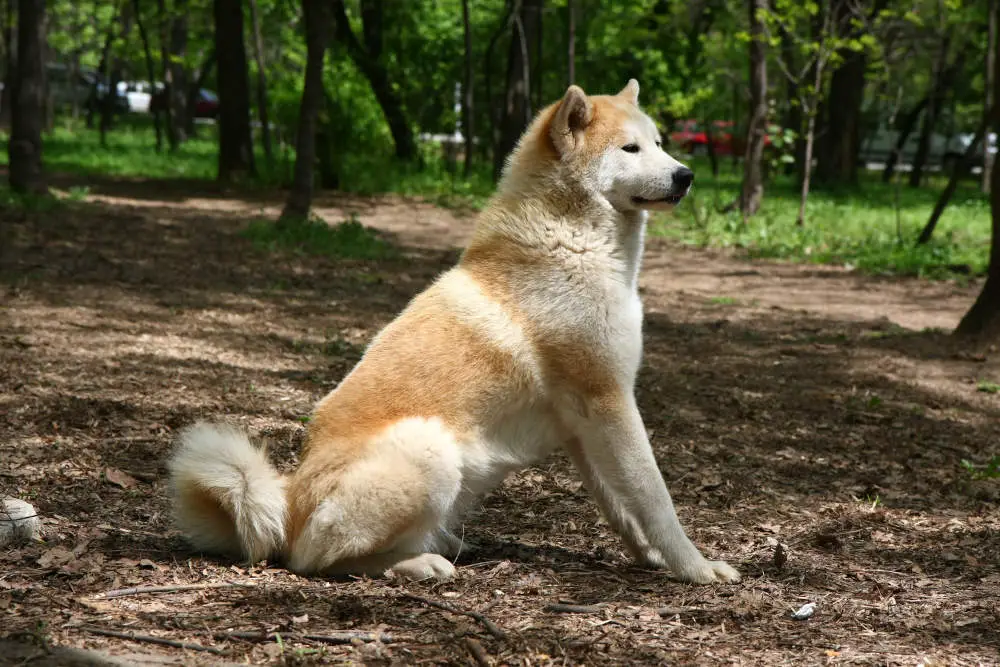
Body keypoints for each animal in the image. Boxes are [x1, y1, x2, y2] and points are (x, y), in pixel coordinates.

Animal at [166, 81, 744, 588]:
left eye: (660, 142)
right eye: (630, 148)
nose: (687, 175)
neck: (570, 243)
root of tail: (287, 507)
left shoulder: (584, 426)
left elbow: (624, 508)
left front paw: (651, 559)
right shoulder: (610, 402)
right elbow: (655, 498)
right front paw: (694, 568)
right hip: (430, 448)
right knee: (315, 559)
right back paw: (418, 563)